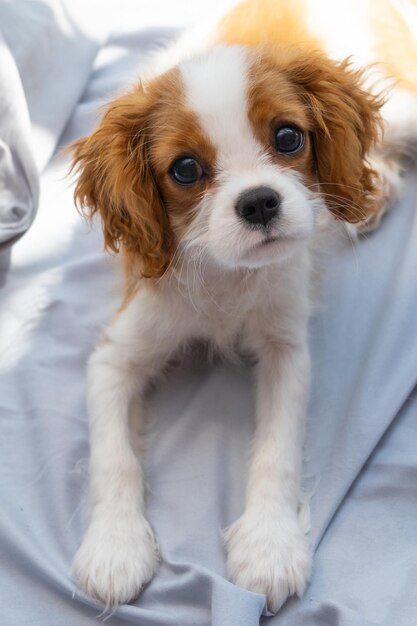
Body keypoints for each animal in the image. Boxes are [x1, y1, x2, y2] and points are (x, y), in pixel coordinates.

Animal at [69, 0, 416, 616]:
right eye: (184, 170)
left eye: (288, 136)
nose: (259, 202)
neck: (226, 273)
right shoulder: (115, 355)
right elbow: (114, 456)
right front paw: (114, 547)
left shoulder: (287, 351)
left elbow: (277, 450)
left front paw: (269, 546)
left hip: (402, 109)